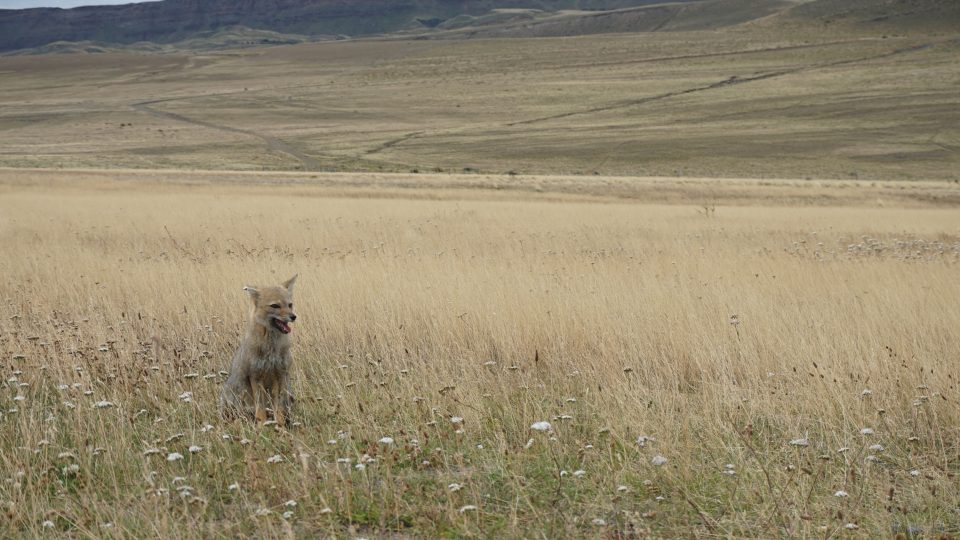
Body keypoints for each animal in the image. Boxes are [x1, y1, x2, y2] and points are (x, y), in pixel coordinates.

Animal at [219, 274, 298, 426]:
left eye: (290, 305)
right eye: (275, 306)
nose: (293, 316)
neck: (271, 347)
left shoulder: (279, 375)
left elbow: (278, 408)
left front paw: (280, 426)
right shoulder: (255, 377)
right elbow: (260, 408)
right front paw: (262, 426)